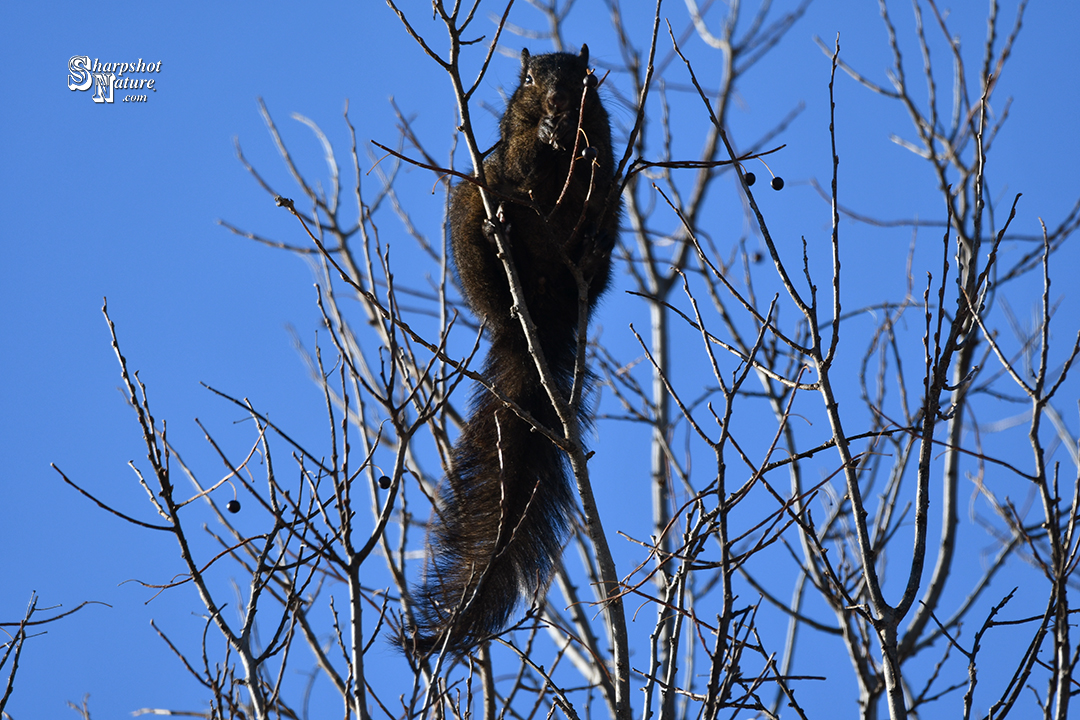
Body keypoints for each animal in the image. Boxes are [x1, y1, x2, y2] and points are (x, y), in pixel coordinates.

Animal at [403, 45, 626, 660]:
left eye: (584, 76)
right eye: (528, 78)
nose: (556, 101)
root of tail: (535, 321)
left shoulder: (603, 141)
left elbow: (599, 158)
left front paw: (575, 139)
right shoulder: (508, 152)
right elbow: (520, 160)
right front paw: (545, 133)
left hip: (607, 229)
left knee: (596, 238)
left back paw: (587, 256)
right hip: (468, 208)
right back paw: (491, 232)